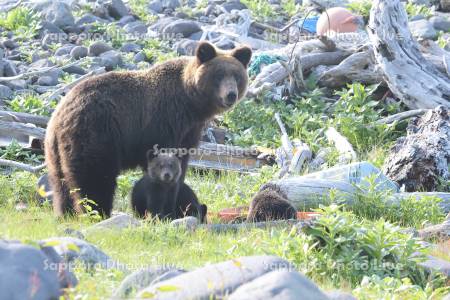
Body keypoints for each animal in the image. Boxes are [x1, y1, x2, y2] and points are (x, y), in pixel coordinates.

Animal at [45, 41, 251, 218]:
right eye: (218, 75)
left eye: (237, 76)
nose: (231, 95)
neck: (191, 105)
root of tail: (59, 116)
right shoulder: (163, 123)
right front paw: (167, 210)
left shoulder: (188, 132)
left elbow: (181, 164)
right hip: (97, 133)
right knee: (95, 178)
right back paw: (98, 213)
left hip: (56, 151)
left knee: (60, 182)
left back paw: (65, 213)